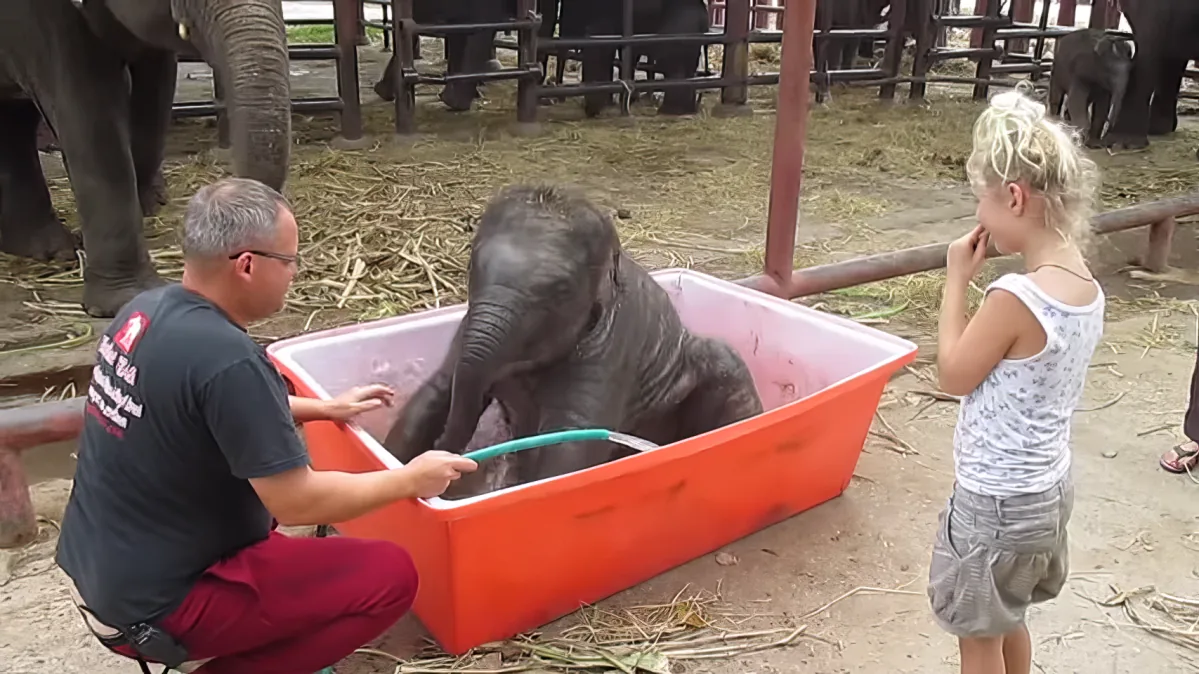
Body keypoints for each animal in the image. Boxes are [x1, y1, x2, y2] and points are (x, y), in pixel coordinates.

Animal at [0, 0, 291, 318]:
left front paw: (148, 204)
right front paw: (127, 299)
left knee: (14, 122)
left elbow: (157, 85)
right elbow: (87, 107)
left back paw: (49, 249)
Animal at [381, 184, 764, 500]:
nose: (452, 461)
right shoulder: (464, 330)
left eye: (561, 291)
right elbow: (434, 394)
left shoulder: (609, 350)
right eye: (471, 266)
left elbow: (570, 446)